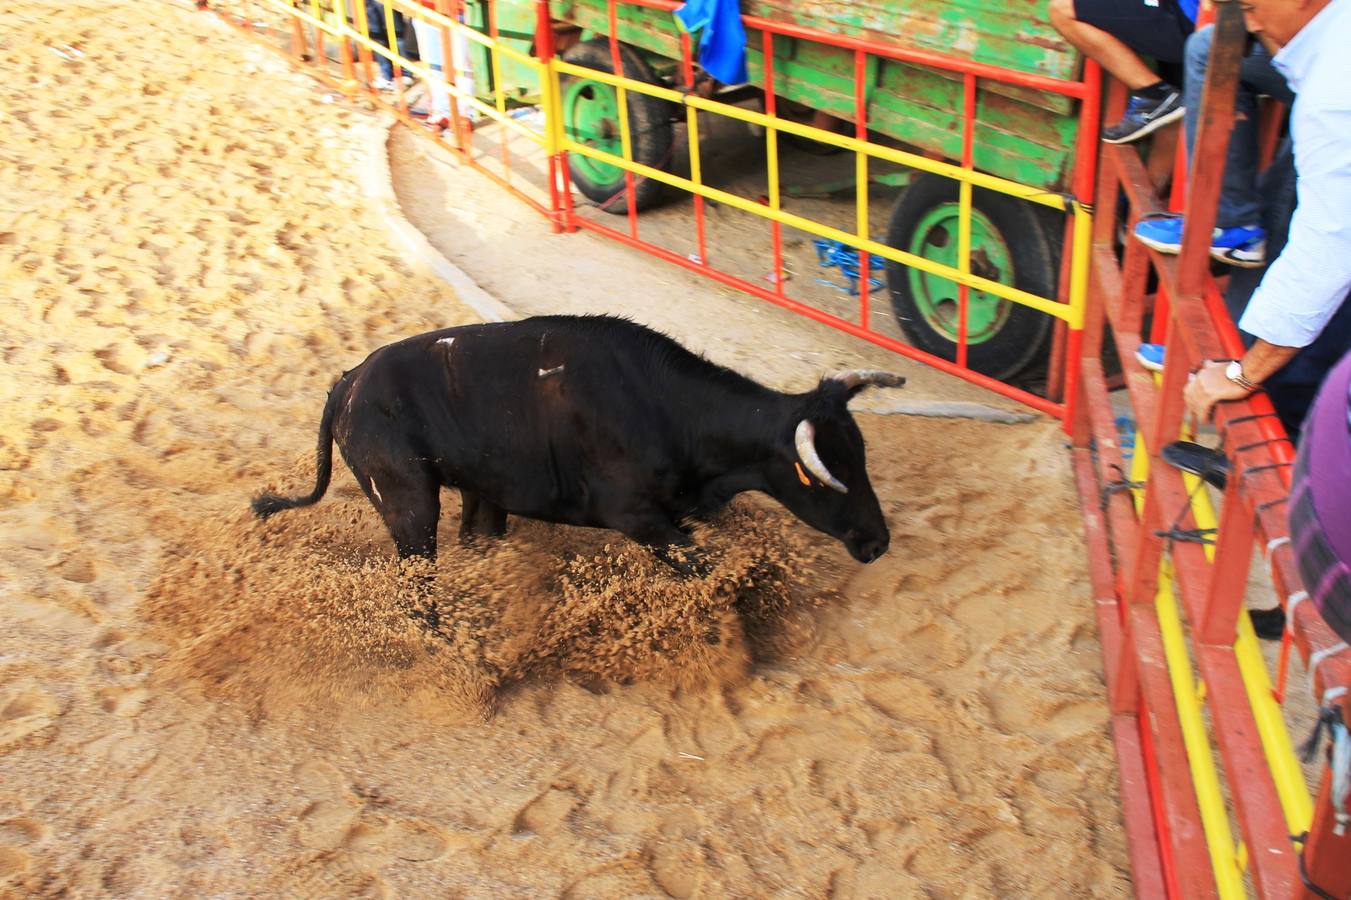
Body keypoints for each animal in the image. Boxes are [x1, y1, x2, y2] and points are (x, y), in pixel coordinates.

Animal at [253, 317, 907, 567]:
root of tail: (347, 383)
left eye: (862, 457)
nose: (877, 541)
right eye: (829, 476)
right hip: (409, 506)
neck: (668, 411)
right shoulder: (637, 519)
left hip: (478, 495)